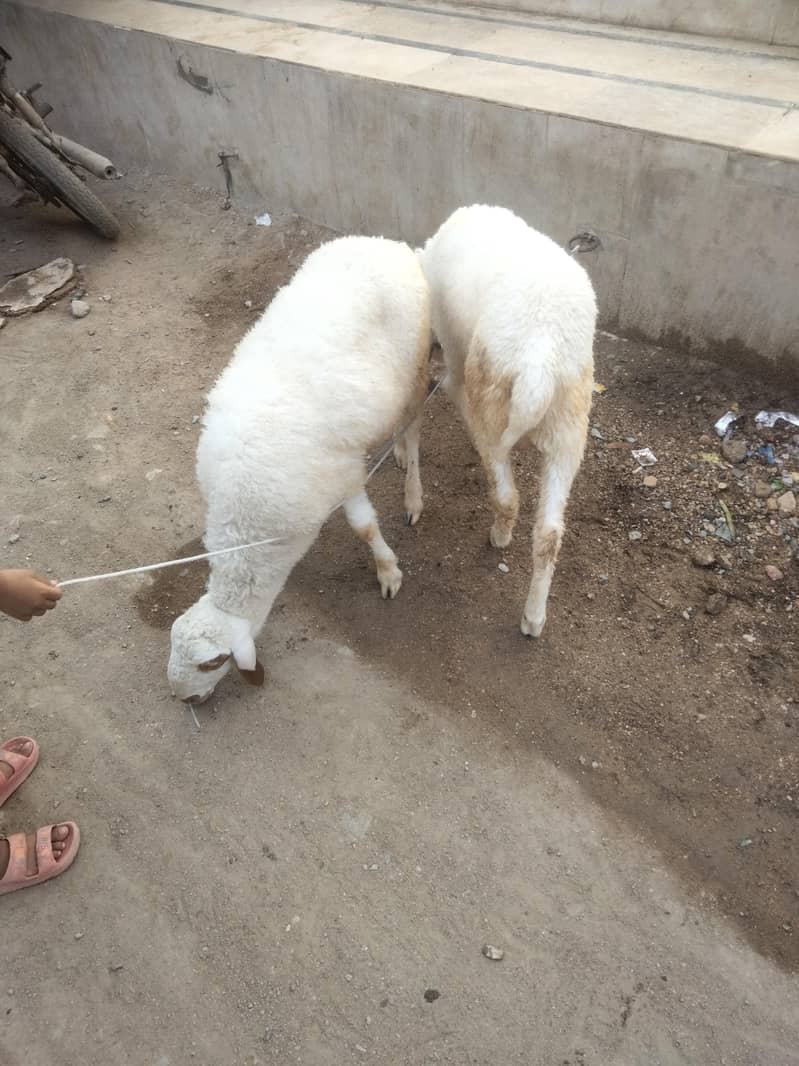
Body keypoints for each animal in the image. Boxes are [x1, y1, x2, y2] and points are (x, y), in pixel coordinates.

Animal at [168, 235, 431, 703]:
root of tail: (388, 243)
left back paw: (412, 489)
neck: (246, 525)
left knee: (414, 427)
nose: (185, 699)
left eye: (211, 663)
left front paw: (388, 571)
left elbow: (365, 527)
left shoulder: (342, 476)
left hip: (414, 368)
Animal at [417, 204, 596, 638]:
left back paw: (499, 536)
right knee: (549, 534)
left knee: (506, 495)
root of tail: (539, 358)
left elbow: (452, 387)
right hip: (569, 427)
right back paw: (533, 617)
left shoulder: (454, 352)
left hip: (493, 398)